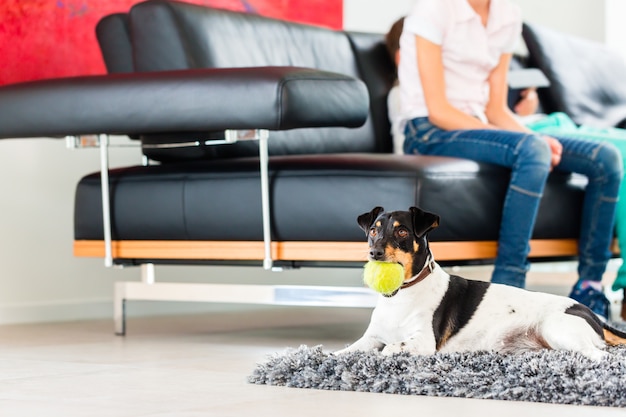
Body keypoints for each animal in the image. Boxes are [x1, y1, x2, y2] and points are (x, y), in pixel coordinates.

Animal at [336, 206, 624, 360]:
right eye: (373, 231)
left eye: (402, 231)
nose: (374, 253)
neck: (401, 296)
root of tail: (592, 315)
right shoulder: (371, 337)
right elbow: (346, 351)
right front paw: (330, 357)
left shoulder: (424, 342)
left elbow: (390, 348)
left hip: (556, 328)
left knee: (599, 355)